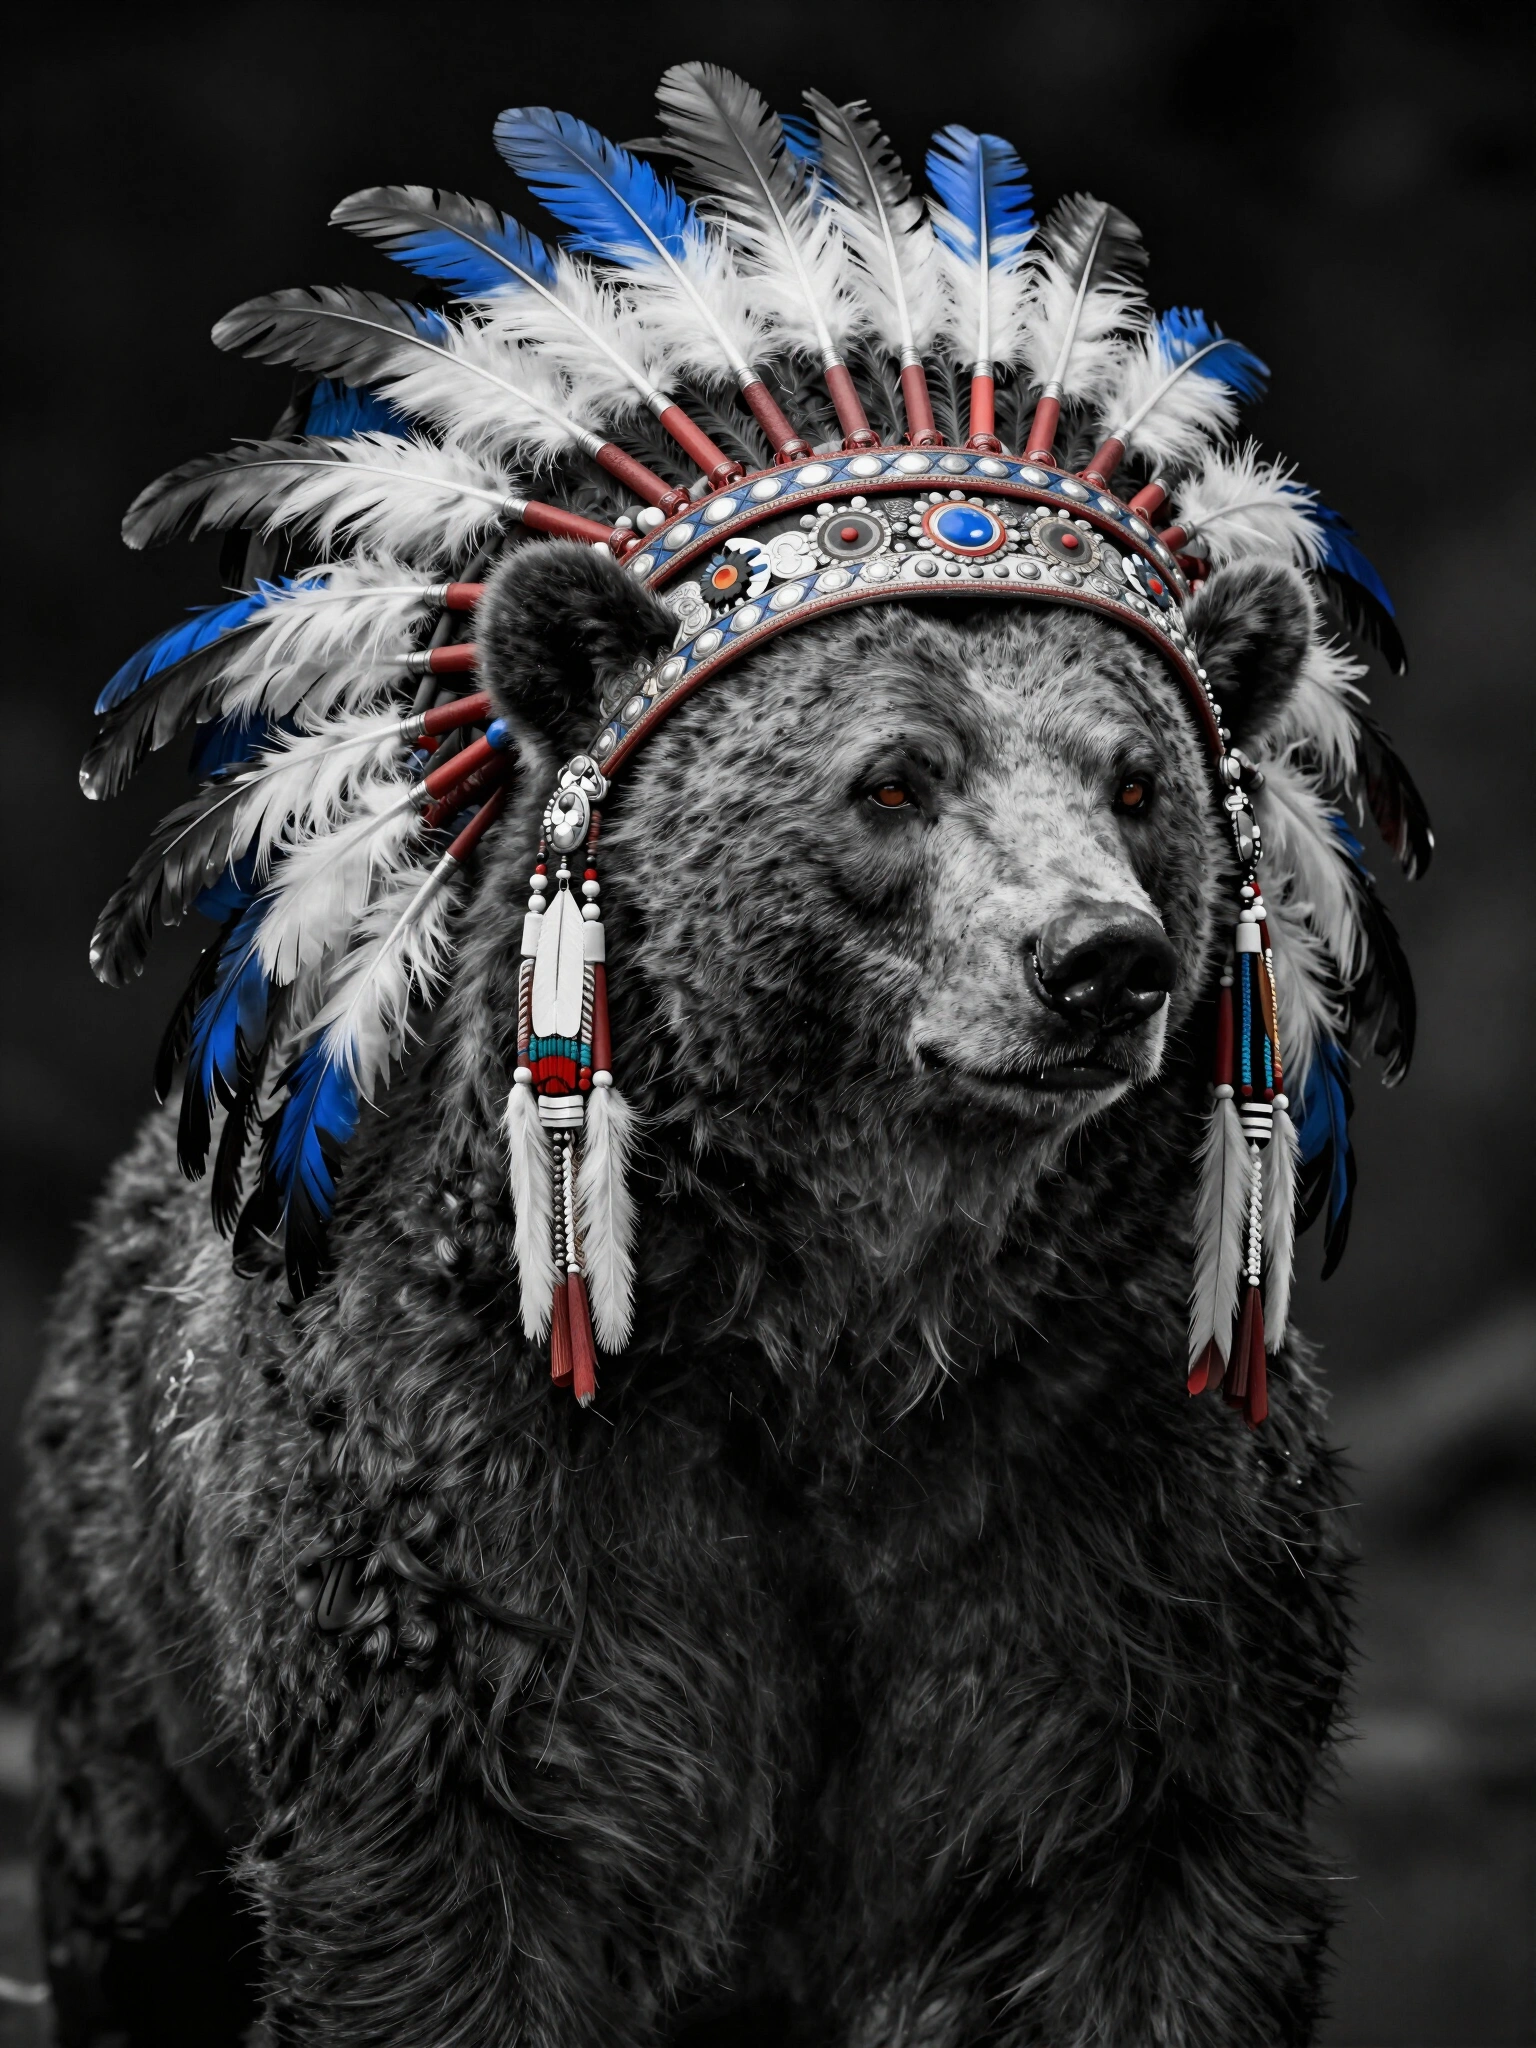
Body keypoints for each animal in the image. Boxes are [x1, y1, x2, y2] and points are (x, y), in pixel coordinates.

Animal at [22, 540, 1350, 2048]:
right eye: (893, 779)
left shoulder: (1119, 1511)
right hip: (127, 1659)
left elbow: (1151, 1893)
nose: (1099, 960)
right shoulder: (480, 1510)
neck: (837, 1327)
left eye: (1137, 784)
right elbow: (442, 1905)